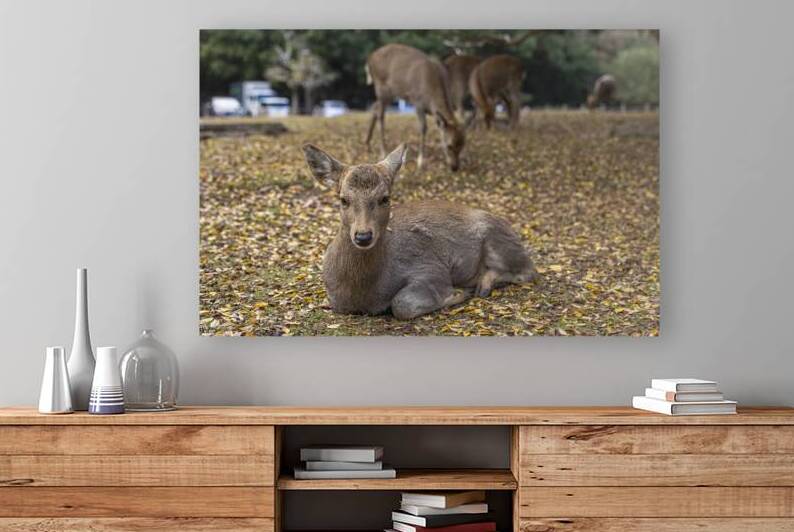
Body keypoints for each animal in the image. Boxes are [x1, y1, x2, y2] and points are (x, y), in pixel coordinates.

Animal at [302, 143, 537, 320]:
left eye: (385, 198)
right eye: (343, 199)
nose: (363, 236)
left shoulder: (431, 268)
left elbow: (401, 304)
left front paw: (456, 294)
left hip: (500, 241)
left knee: (527, 272)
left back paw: (481, 285)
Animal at [365, 43, 465, 172]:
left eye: (462, 145)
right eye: (449, 146)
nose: (455, 167)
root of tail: (370, 58)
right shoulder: (418, 102)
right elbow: (423, 127)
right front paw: (420, 162)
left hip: (391, 93)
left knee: (375, 107)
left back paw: (368, 144)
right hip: (381, 87)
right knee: (381, 114)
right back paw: (383, 151)